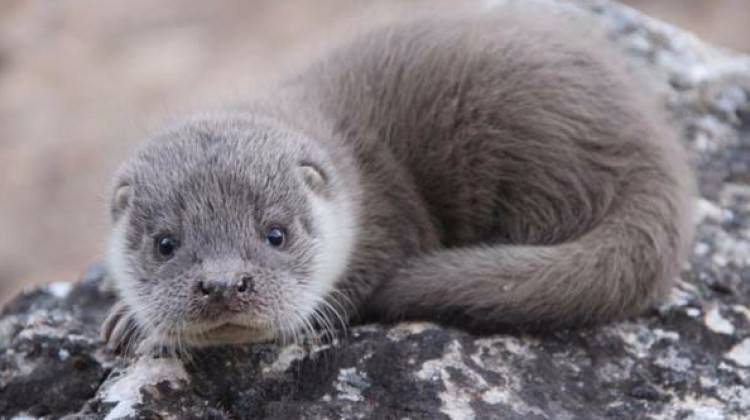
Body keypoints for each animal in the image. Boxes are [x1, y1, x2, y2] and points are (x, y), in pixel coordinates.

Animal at [101, 9, 700, 354]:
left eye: (276, 234)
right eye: (165, 244)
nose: (224, 284)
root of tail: (654, 149)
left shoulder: (390, 218)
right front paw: (125, 320)